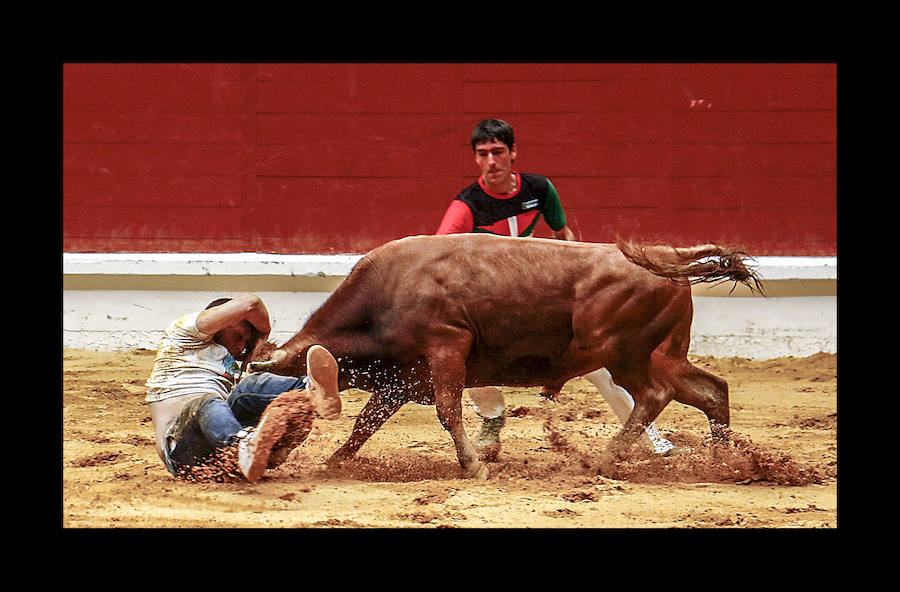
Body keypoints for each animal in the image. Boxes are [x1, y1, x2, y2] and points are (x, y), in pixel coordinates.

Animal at [250, 234, 764, 478]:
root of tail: (666, 257)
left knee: (654, 396)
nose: (269, 454)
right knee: (710, 391)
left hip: (623, 353)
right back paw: (725, 463)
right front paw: (334, 461)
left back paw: (605, 461)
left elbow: (448, 410)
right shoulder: (404, 378)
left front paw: (474, 464)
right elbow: (366, 423)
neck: (386, 294)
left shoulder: (446, 347)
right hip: (662, 356)